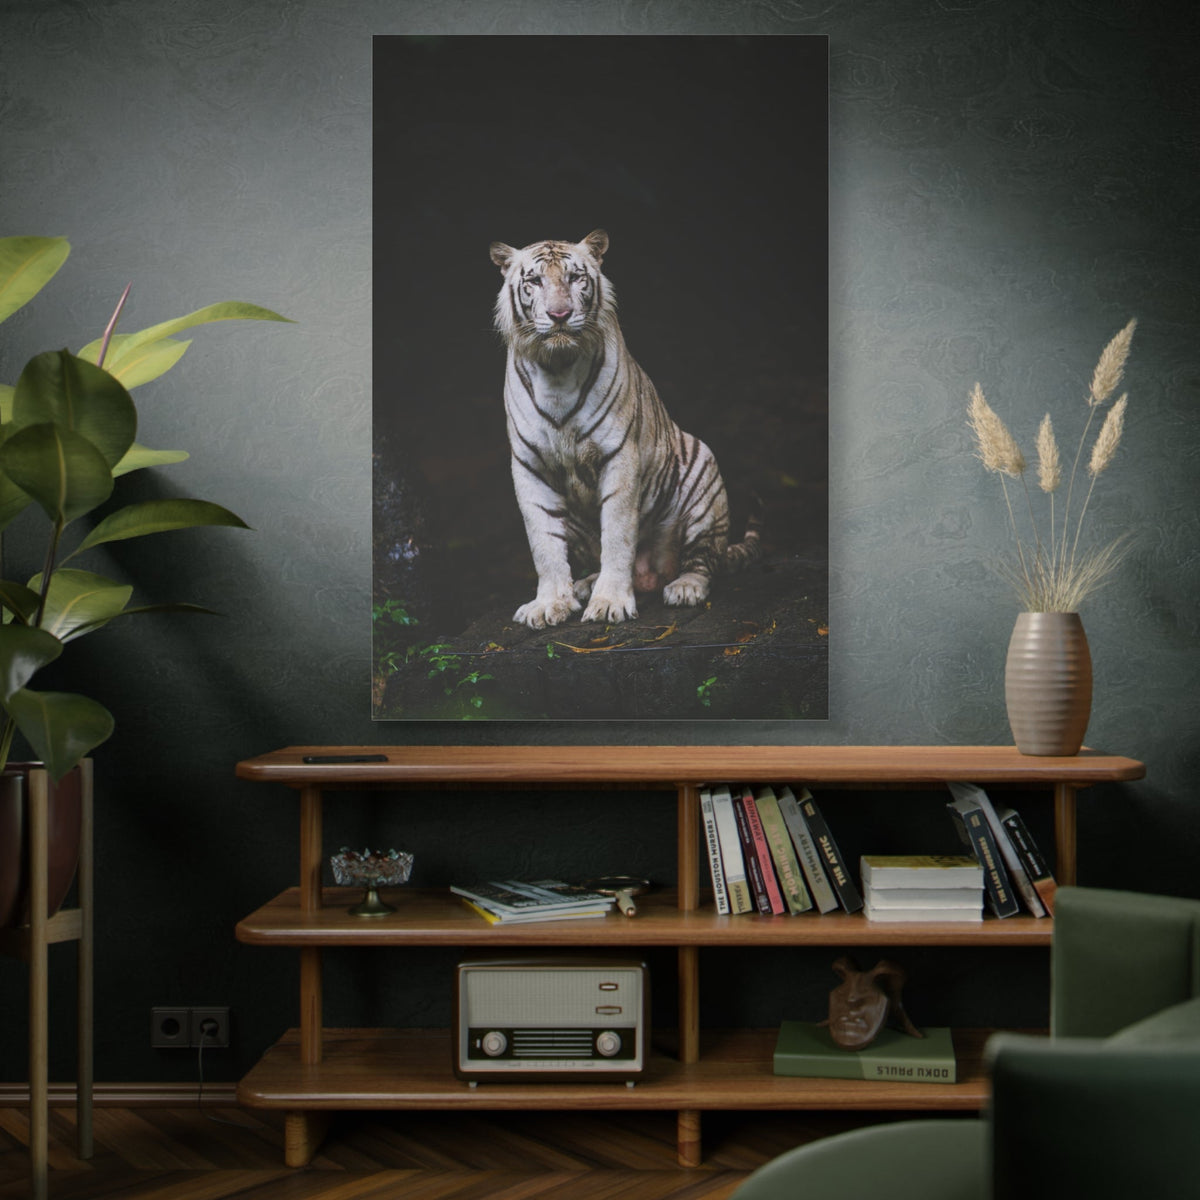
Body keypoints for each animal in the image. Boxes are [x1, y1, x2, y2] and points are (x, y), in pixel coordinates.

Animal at [489, 228, 761, 629]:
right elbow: (543, 543)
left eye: (575, 277)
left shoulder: (619, 456)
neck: (556, 369)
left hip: (704, 471)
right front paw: (550, 602)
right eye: (534, 281)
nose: (559, 315)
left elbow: (617, 535)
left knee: (703, 559)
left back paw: (684, 587)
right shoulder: (529, 467)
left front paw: (609, 603)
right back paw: (583, 585)